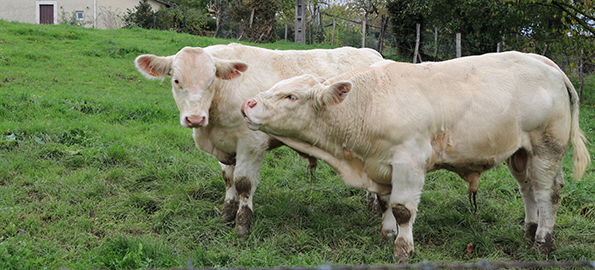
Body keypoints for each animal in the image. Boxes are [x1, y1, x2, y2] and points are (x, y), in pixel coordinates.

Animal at [242, 51, 592, 260]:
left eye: (291, 96)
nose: (248, 103)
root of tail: (545, 62)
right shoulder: (383, 165)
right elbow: (386, 203)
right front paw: (385, 235)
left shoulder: (409, 163)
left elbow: (402, 210)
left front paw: (402, 249)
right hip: (520, 153)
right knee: (528, 190)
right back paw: (529, 232)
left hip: (547, 148)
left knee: (548, 193)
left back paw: (543, 241)